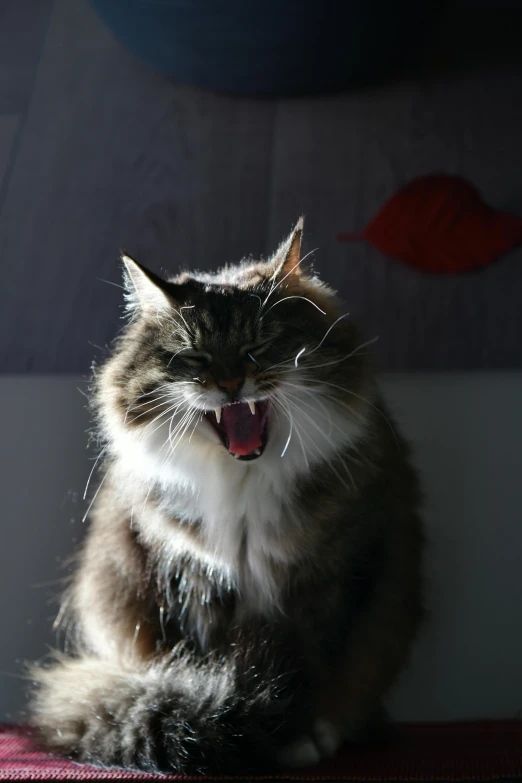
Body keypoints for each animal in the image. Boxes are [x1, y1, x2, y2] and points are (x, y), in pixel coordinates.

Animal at [29, 217, 422, 776]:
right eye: (195, 356)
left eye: (259, 346)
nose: (232, 383)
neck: (243, 479)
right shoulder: (185, 580)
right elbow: (206, 667)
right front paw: (236, 717)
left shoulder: (333, 581)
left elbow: (314, 668)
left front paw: (299, 736)